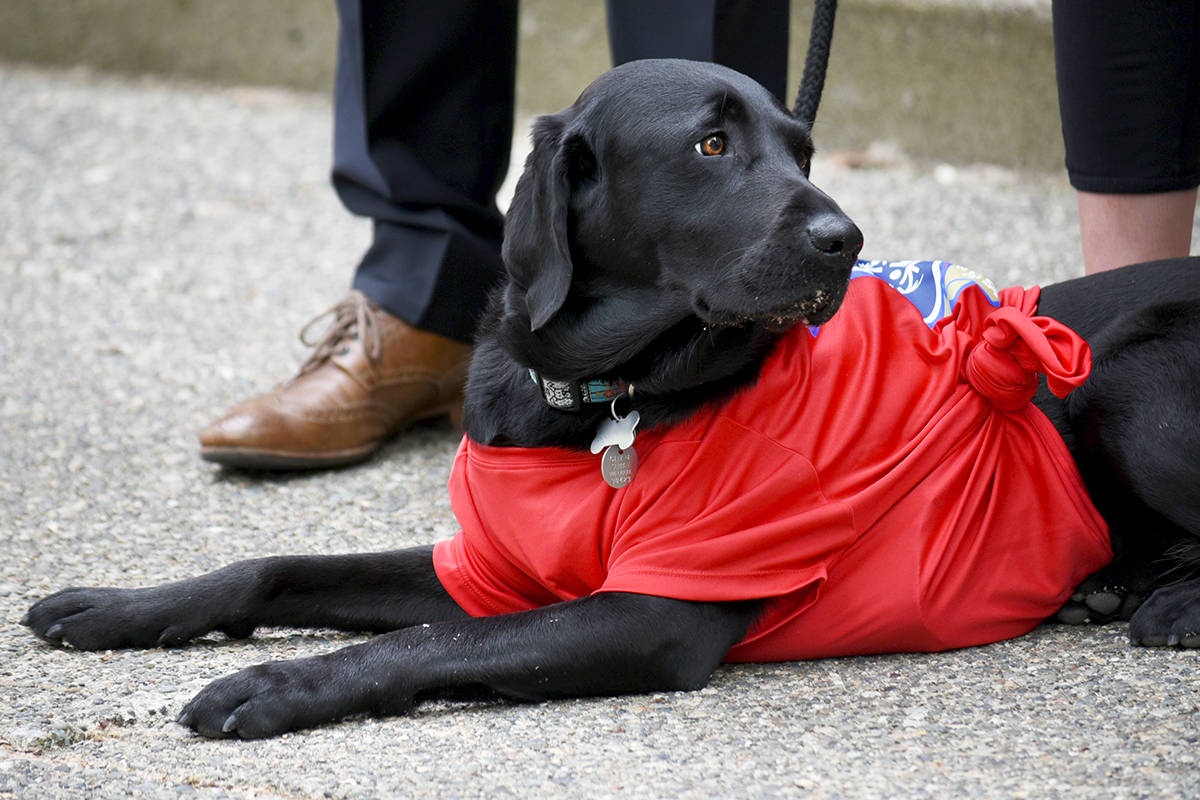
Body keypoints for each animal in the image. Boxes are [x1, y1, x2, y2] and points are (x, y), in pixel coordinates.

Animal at [23, 61, 1200, 738]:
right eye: (712, 143)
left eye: (803, 149)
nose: (845, 237)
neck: (600, 397)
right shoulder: (489, 565)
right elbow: (273, 565)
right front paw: (118, 608)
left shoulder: (649, 610)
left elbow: (420, 648)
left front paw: (272, 685)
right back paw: (1121, 581)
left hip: (1129, 381)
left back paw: (1166, 602)